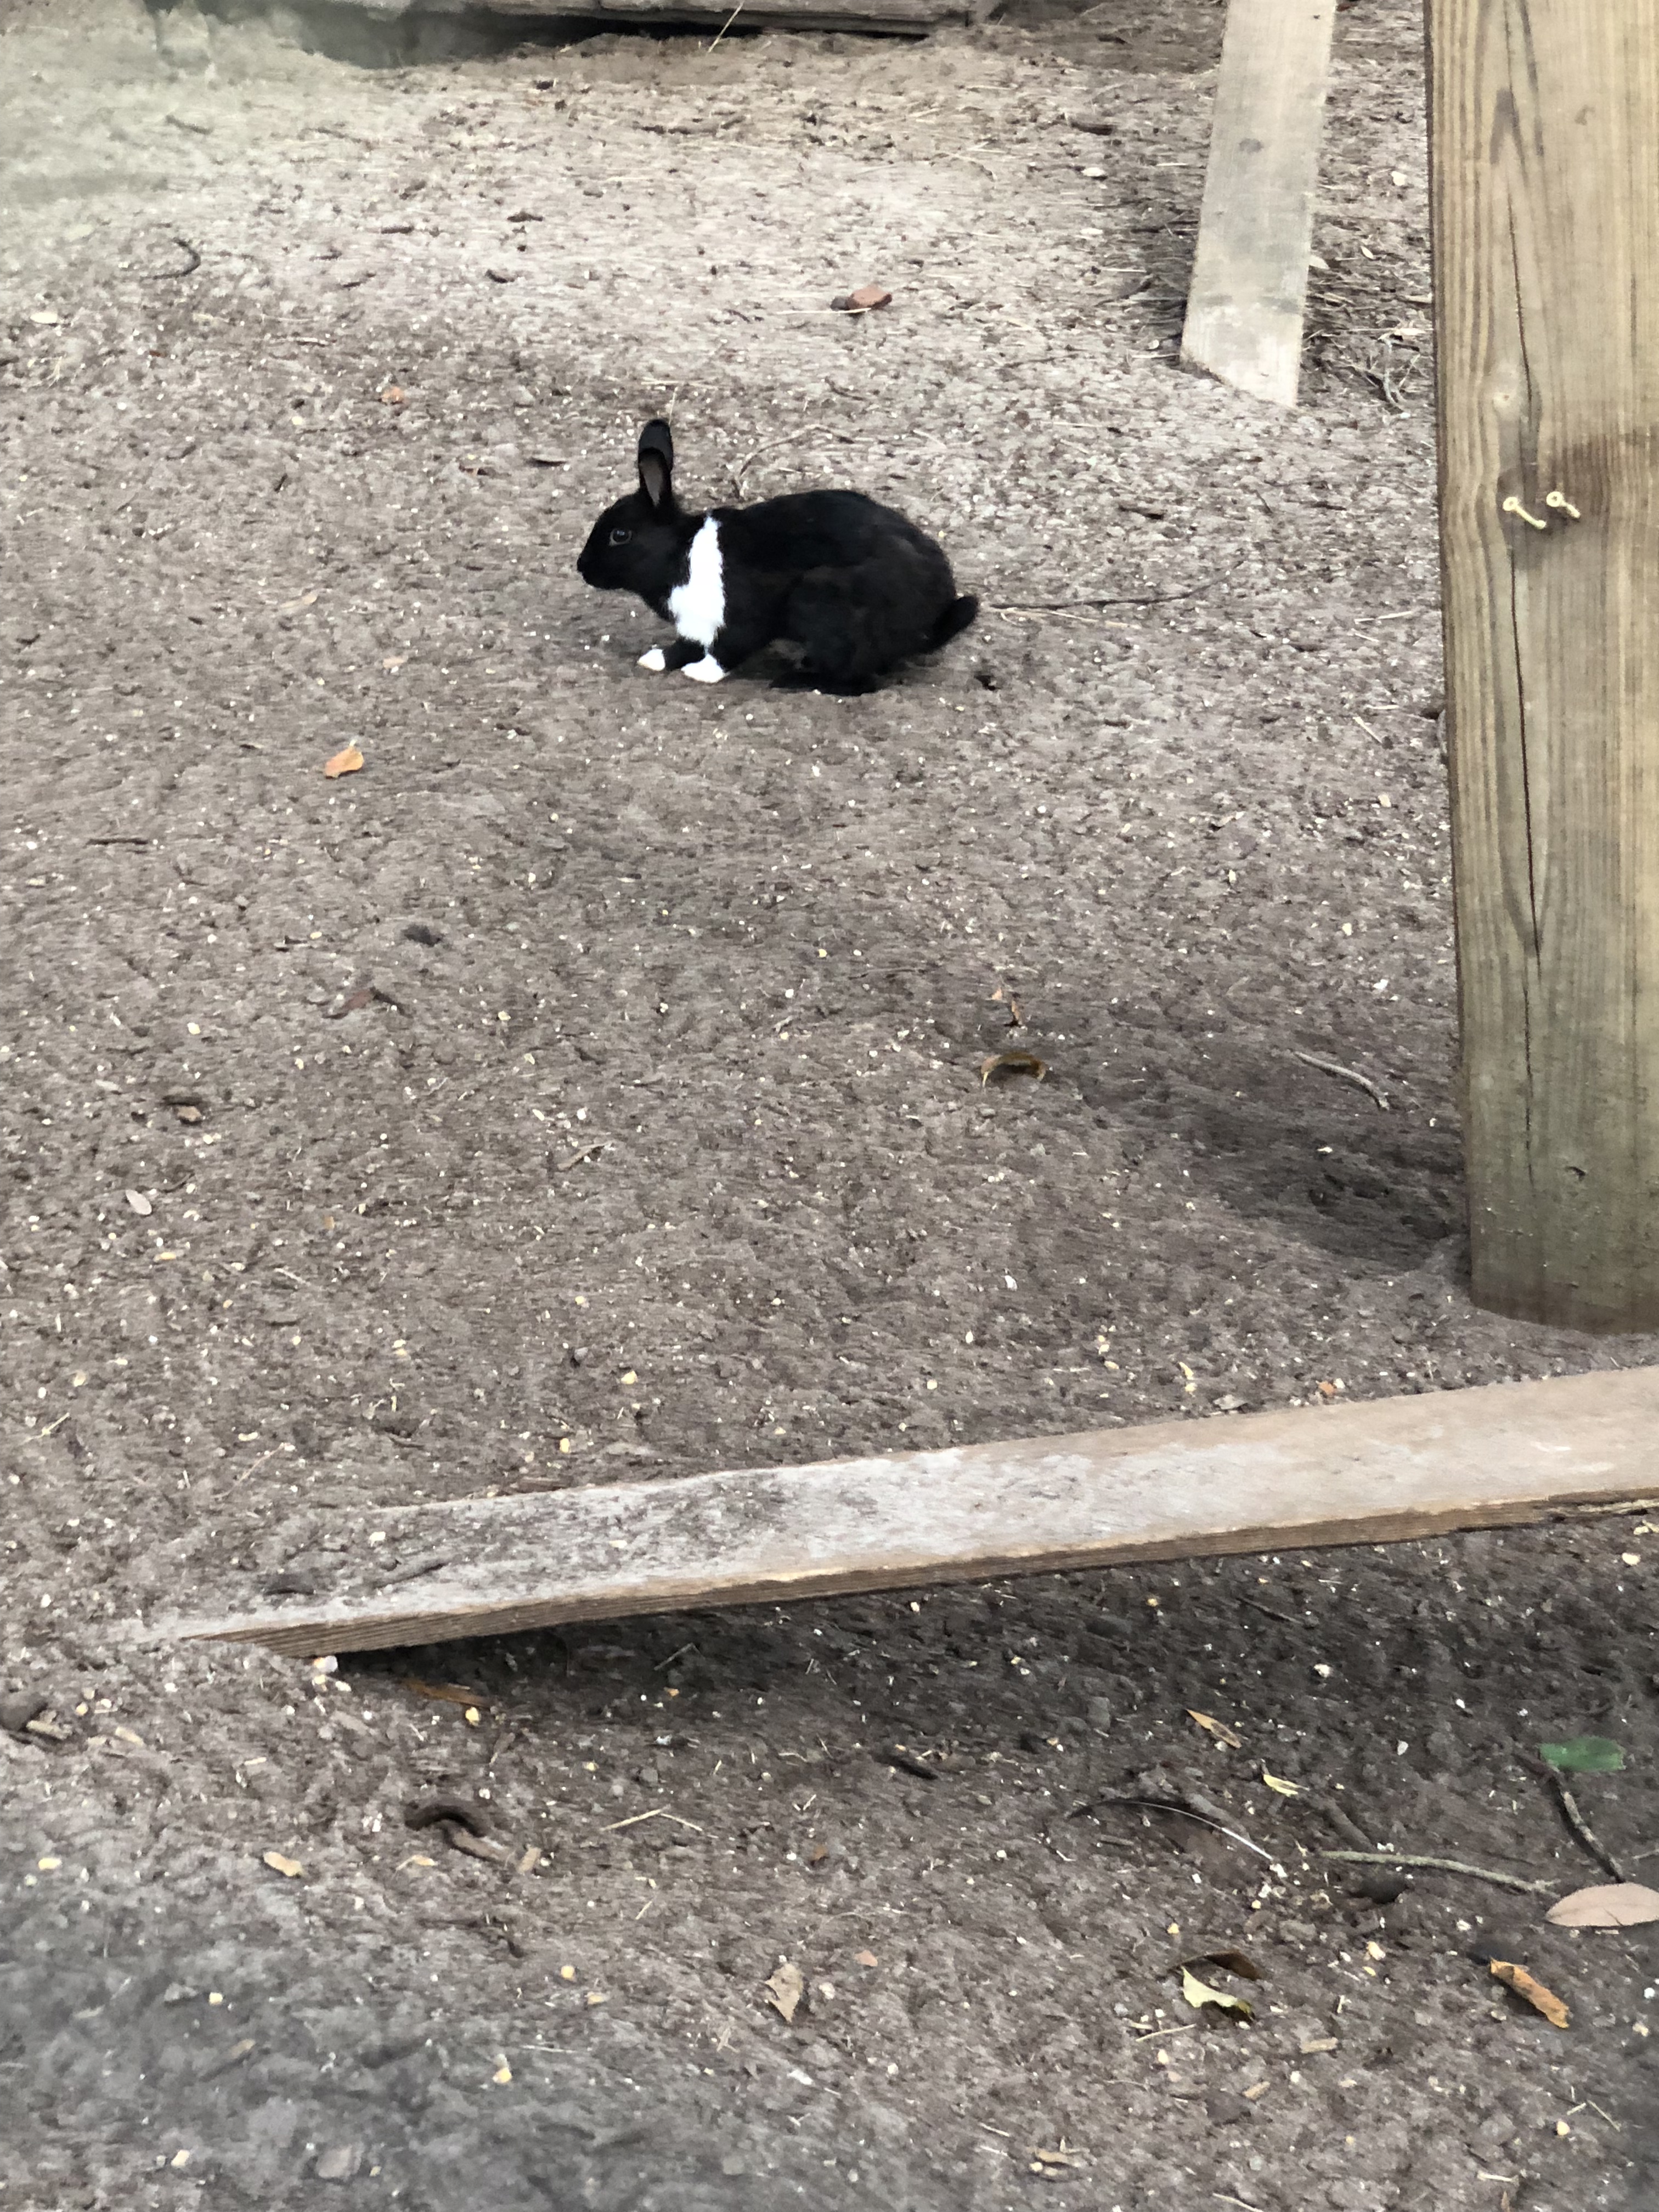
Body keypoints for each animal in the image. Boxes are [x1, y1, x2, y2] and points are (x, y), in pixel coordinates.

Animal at [576, 418, 978, 692]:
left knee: (859, 681)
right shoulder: (694, 625)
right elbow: (684, 646)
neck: (680, 553)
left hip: (821, 599)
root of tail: (928, 626)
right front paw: (655, 660)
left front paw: (700, 673)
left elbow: (728, 650)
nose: (582, 569)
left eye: (620, 536)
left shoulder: (742, 618)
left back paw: (792, 680)